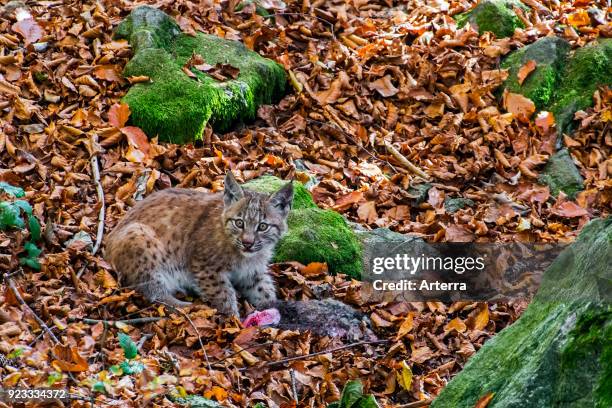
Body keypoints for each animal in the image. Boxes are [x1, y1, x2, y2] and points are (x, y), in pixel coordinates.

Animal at [104, 172, 294, 316]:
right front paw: (234, 321)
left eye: (262, 226)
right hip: (139, 234)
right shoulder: (206, 267)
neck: (245, 256)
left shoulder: (252, 272)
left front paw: (273, 309)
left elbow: (265, 290)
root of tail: (107, 240)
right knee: (152, 292)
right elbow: (223, 295)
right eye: (239, 223)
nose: (247, 243)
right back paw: (188, 308)